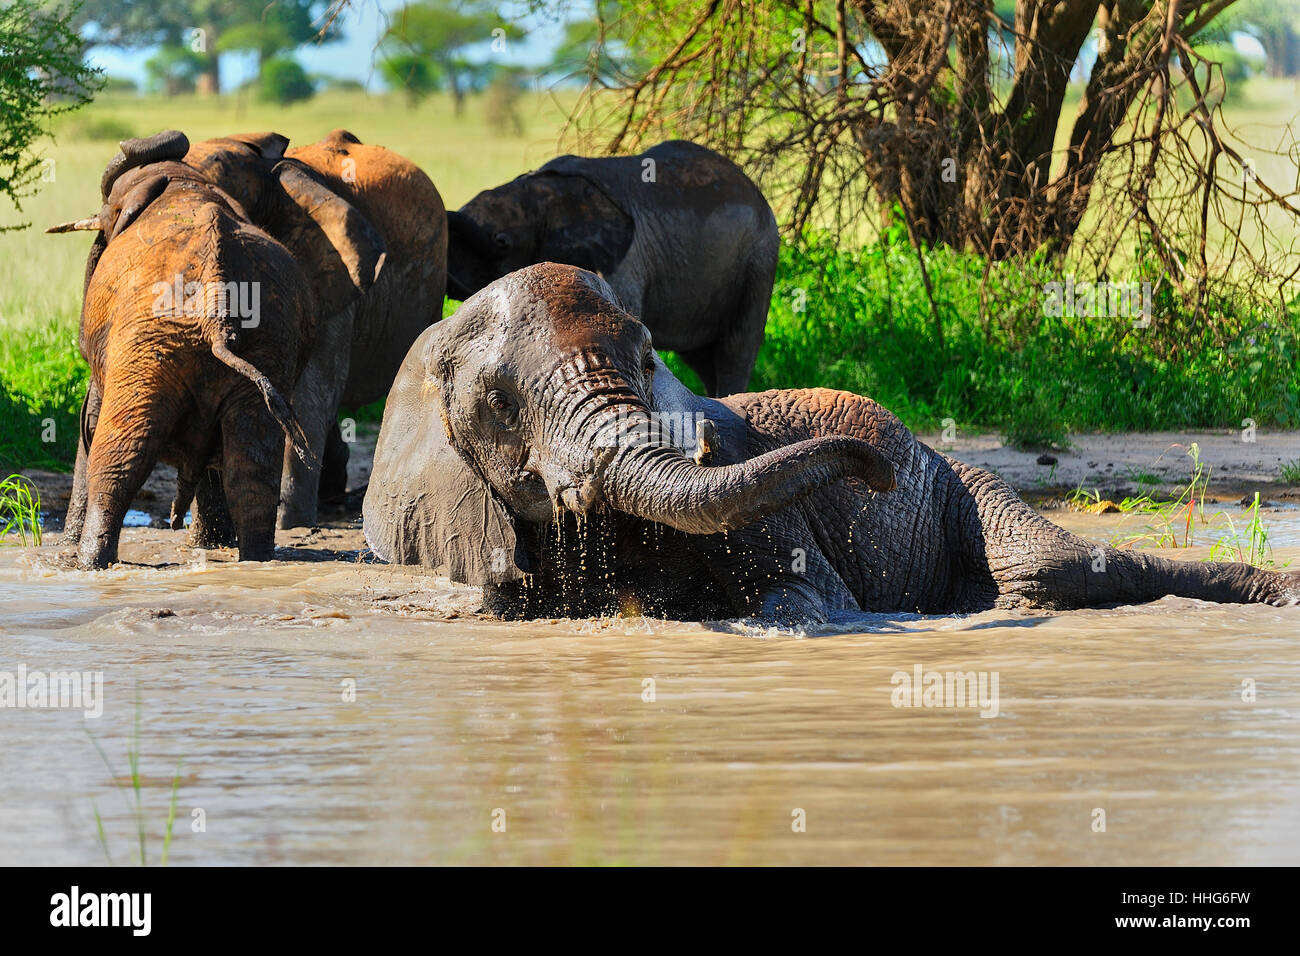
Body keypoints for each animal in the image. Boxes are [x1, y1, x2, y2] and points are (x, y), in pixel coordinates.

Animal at [46, 131, 355, 569]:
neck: (180, 180)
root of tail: (216, 309)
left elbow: (91, 420)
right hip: (265, 343)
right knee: (251, 471)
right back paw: (255, 562)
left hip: (149, 347)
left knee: (117, 460)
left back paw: (89, 564)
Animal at [363, 263, 1300, 625]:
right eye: (497, 403)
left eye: (648, 358)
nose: (873, 463)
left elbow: (810, 595)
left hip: (963, 482)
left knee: (1056, 569)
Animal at [445, 140, 777, 398]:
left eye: (502, 242)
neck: (540, 191)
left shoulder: (625, 259)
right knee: (704, 360)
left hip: (759, 259)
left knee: (735, 348)